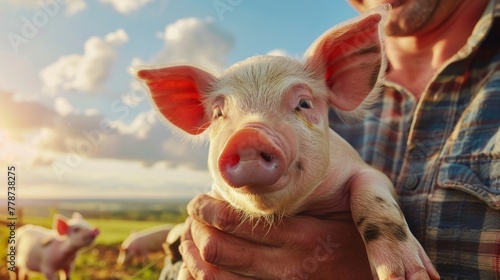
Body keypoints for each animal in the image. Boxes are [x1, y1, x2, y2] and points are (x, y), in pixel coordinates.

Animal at [135, 4, 440, 280]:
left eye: (304, 103)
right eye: (219, 113)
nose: (248, 135)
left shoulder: (370, 172)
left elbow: (370, 198)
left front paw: (406, 275)